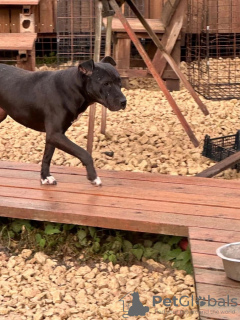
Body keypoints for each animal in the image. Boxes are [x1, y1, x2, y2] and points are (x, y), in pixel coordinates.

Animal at [0, 56, 126, 186]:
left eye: (119, 83)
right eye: (106, 83)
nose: (124, 102)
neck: (73, 88)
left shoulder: (54, 136)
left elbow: (47, 157)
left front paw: (45, 177)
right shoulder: (55, 134)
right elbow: (84, 153)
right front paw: (93, 176)